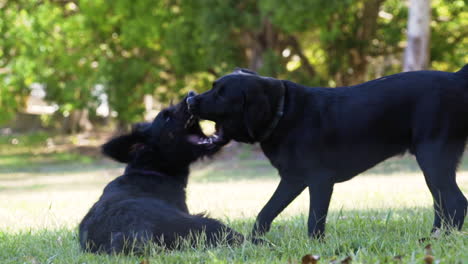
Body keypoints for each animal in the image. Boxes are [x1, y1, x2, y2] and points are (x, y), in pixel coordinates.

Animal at [186, 65, 468, 239]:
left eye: (222, 94)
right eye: (213, 86)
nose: (189, 99)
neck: (283, 112)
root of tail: (456, 78)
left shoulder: (320, 179)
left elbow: (314, 220)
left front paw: (315, 247)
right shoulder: (292, 179)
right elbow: (266, 212)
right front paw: (253, 242)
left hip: (433, 156)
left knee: (456, 202)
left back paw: (442, 239)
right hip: (433, 163)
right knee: (441, 204)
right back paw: (432, 237)